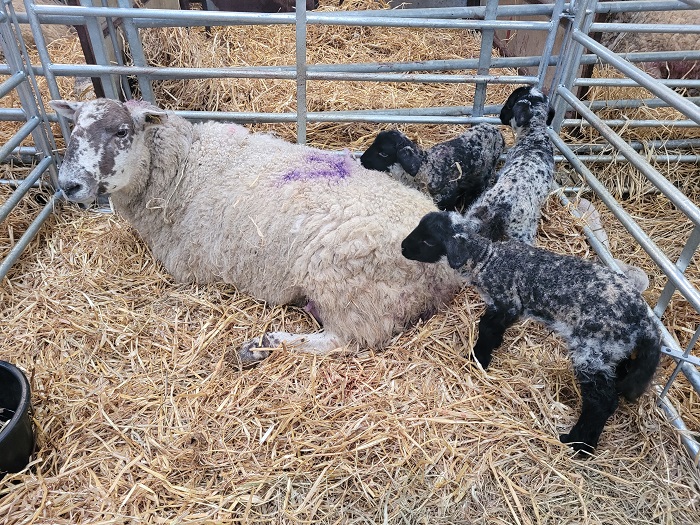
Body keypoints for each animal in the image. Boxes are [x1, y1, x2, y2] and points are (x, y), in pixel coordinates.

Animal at [48, 98, 464, 364]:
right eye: (73, 128)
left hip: (350, 287)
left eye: (122, 131)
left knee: (345, 341)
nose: (68, 185)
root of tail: (444, 273)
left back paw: (266, 344)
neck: (184, 168)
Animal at [359, 125, 505, 211]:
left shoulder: (447, 196)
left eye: (383, 153)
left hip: (485, 174)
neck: (425, 167)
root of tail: (495, 129)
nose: (361, 160)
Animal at [401, 210, 661, 454]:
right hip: (614, 350)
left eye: (428, 241)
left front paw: (478, 359)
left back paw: (579, 444)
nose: (403, 248)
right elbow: (493, 328)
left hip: (593, 349)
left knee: (602, 401)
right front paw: (491, 348)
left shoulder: (507, 301)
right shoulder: (506, 307)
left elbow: (486, 327)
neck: (486, 259)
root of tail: (644, 321)